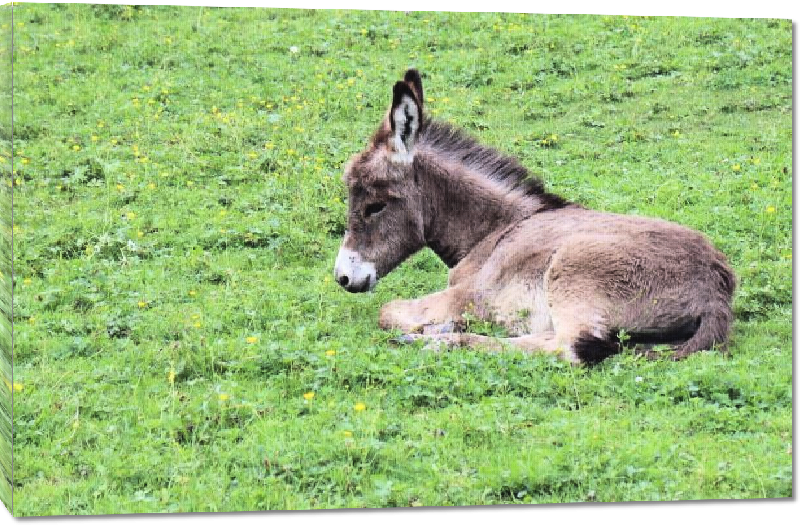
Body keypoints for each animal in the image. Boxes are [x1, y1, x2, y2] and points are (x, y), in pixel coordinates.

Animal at [332, 69, 736, 364]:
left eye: (375, 205)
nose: (343, 277)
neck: (495, 230)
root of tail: (716, 287)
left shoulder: (471, 293)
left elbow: (387, 310)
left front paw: (436, 329)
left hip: (572, 276)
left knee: (570, 347)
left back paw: (444, 341)